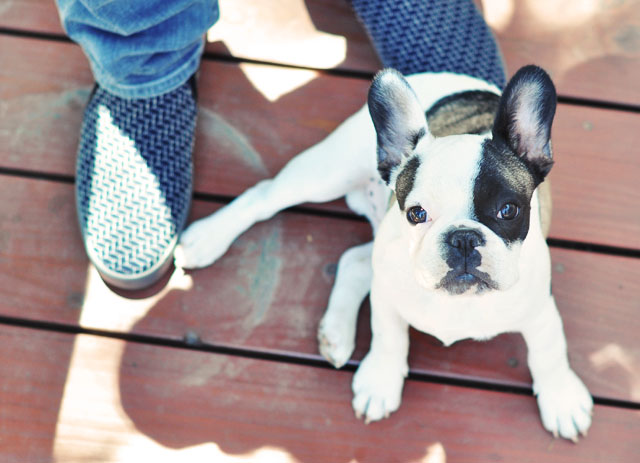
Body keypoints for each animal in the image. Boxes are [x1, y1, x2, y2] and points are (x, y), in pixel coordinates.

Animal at [174, 65, 592, 442]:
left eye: (508, 210)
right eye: (416, 214)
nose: (462, 238)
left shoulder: (540, 310)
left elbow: (549, 352)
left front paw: (561, 400)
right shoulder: (388, 295)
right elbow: (389, 336)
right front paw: (380, 381)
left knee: (354, 262)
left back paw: (336, 333)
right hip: (327, 173)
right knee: (263, 198)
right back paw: (208, 238)